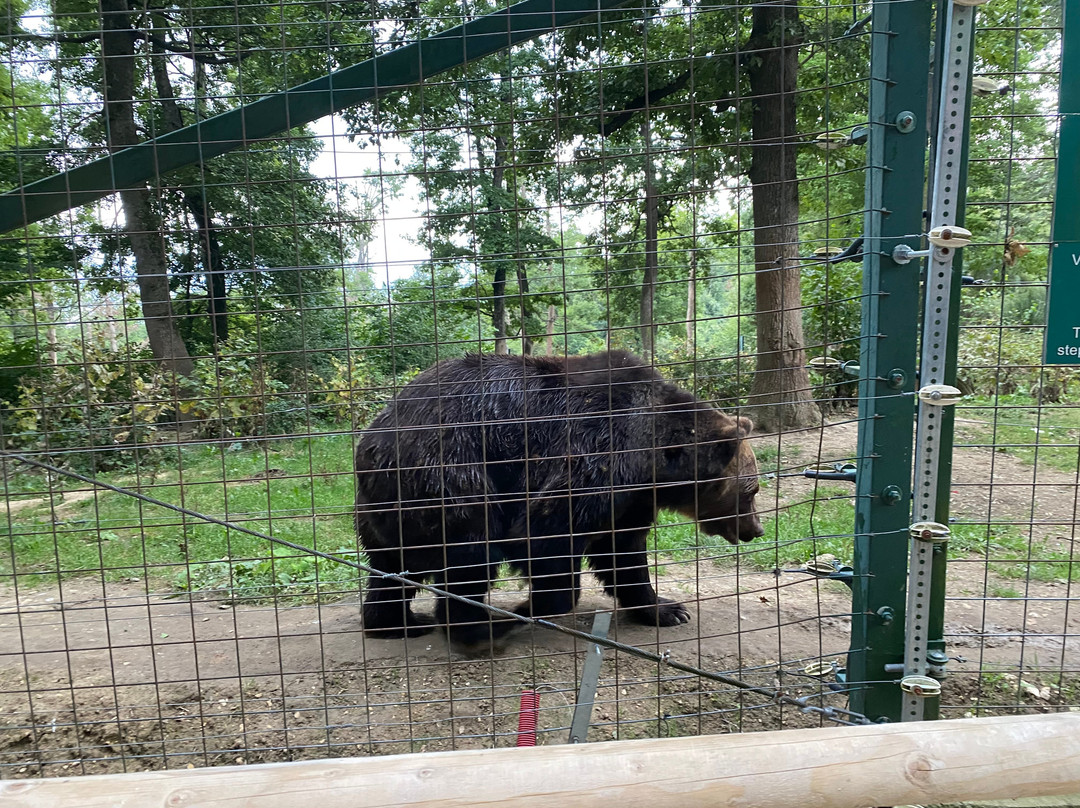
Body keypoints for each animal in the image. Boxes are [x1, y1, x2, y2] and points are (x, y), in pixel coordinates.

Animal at [353, 350, 762, 648]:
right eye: (752, 491)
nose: (756, 529)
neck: (653, 459)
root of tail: (373, 440)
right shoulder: (594, 454)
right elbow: (544, 533)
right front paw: (532, 605)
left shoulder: (630, 498)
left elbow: (624, 554)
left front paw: (667, 609)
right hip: (453, 473)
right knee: (471, 549)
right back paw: (485, 628)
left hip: (385, 507)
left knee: (391, 569)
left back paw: (398, 622)